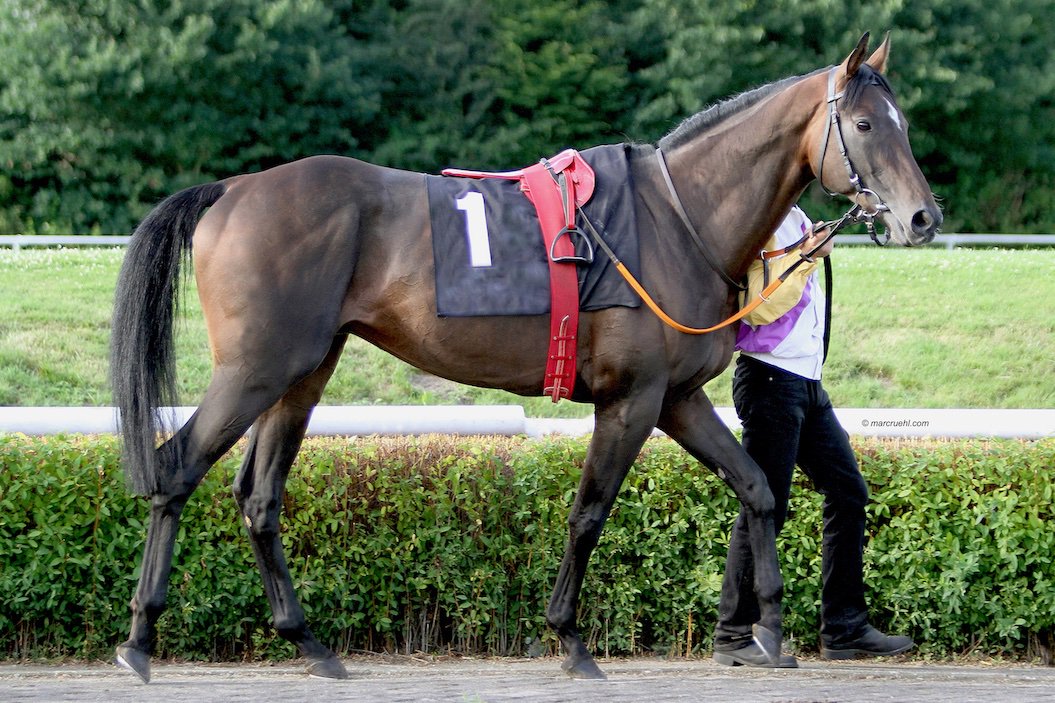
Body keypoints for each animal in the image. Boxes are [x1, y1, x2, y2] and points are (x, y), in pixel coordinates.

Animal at [110, 33, 941, 683]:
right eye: (865, 123)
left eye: (902, 121)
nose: (922, 217)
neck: (675, 217)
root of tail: (230, 191)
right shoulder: (630, 399)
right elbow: (588, 513)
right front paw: (569, 638)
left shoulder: (676, 397)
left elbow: (758, 488)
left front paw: (767, 626)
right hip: (254, 371)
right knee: (175, 468)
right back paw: (140, 637)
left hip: (299, 376)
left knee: (258, 497)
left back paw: (309, 642)